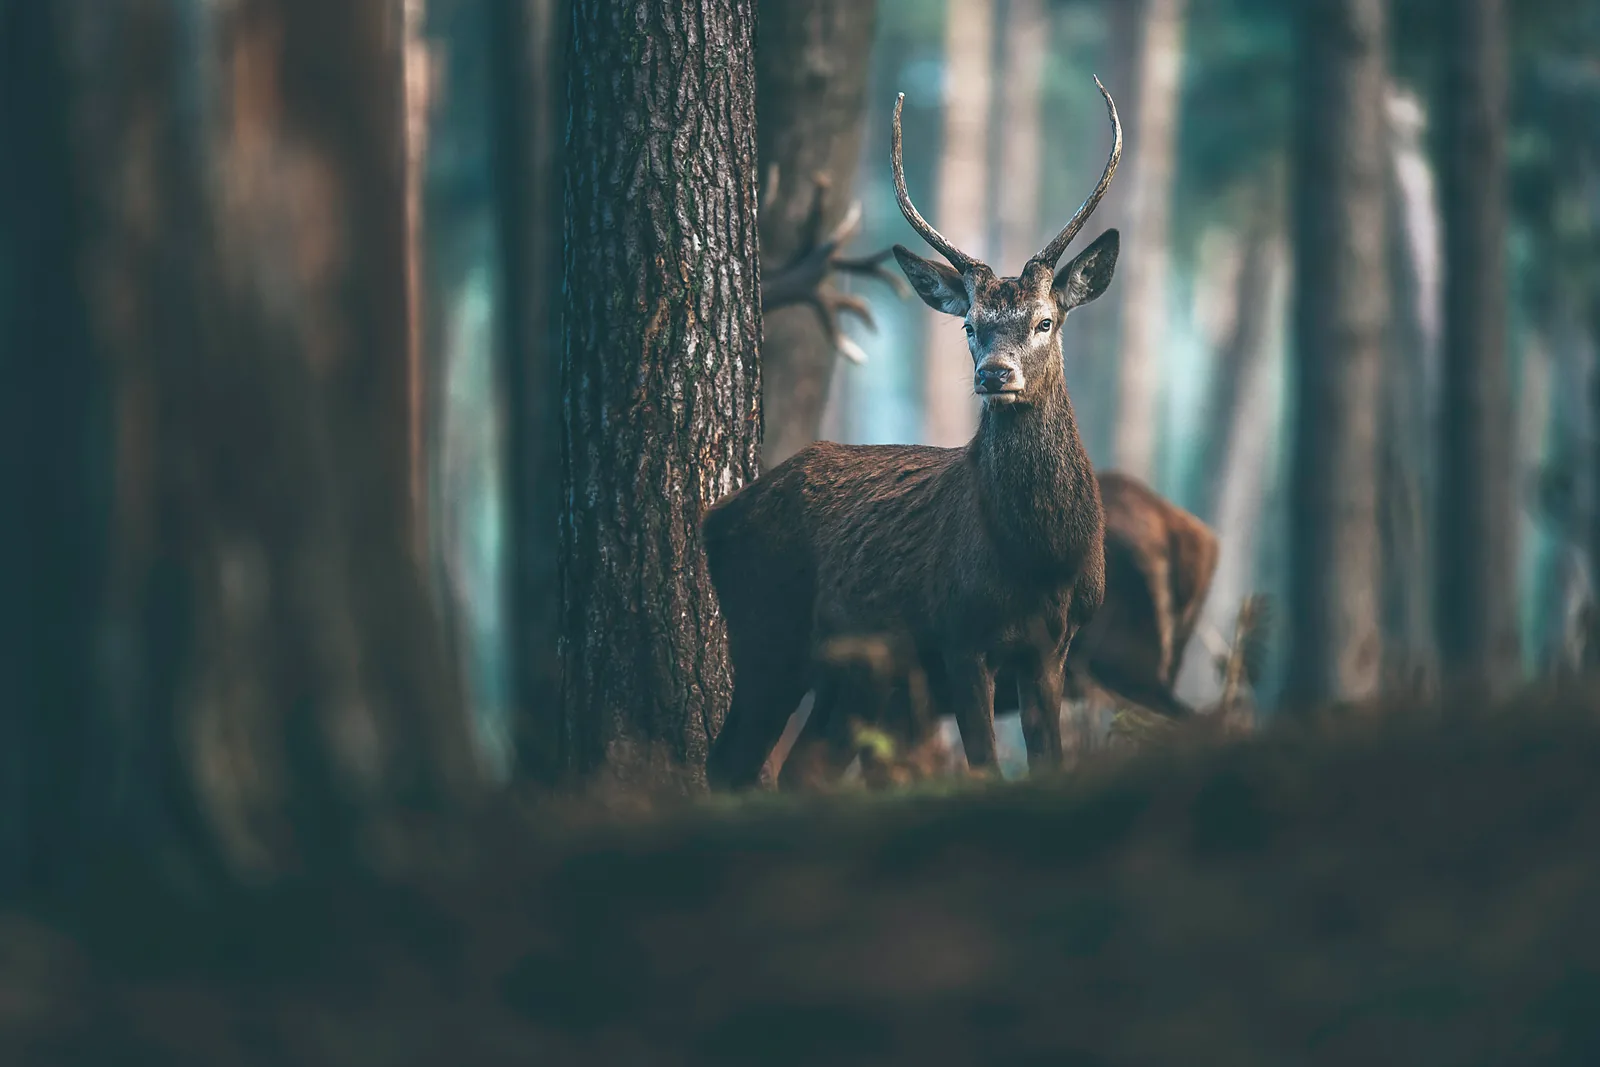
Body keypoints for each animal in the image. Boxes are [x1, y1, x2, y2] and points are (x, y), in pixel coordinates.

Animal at [703, 78, 1123, 791]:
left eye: (1045, 320)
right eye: (970, 326)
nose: (994, 374)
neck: (1040, 557)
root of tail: (715, 517)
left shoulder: (1055, 644)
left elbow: (1049, 760)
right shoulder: (959, 636)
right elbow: (983, 766)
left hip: (854, 673)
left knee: (801, 766)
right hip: (767, 630)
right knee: (731, 758)